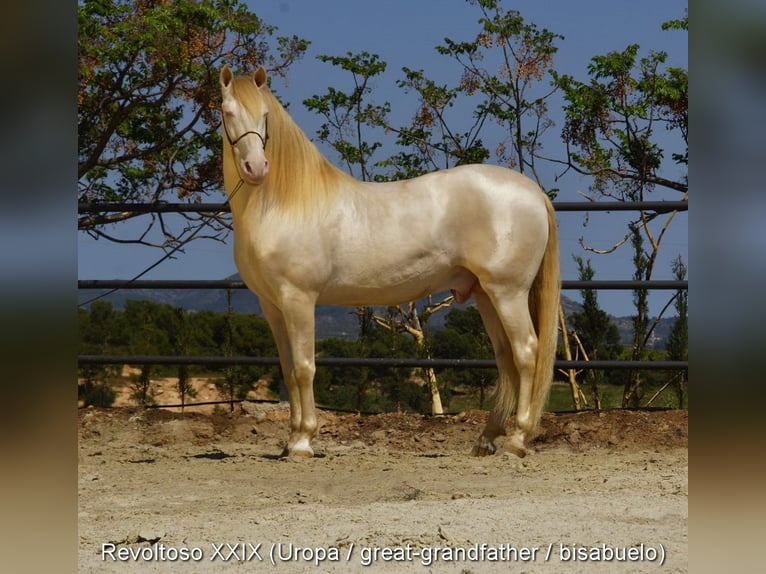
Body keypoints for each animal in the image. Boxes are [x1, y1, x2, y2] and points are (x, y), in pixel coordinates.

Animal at [219, 64, 560, 460]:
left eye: (265, 115)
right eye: (228, 112)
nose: (256, 168)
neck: (283, 204)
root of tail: (533, 192)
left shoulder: (299, 299)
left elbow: (304, 368)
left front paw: (304, 441)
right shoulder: (272, 306)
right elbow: (288, 371)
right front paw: (290, 441)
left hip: (508, 293)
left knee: (526, 353)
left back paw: (518, 439)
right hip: (486, 295)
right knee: (506, 359)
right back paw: (486, 438)